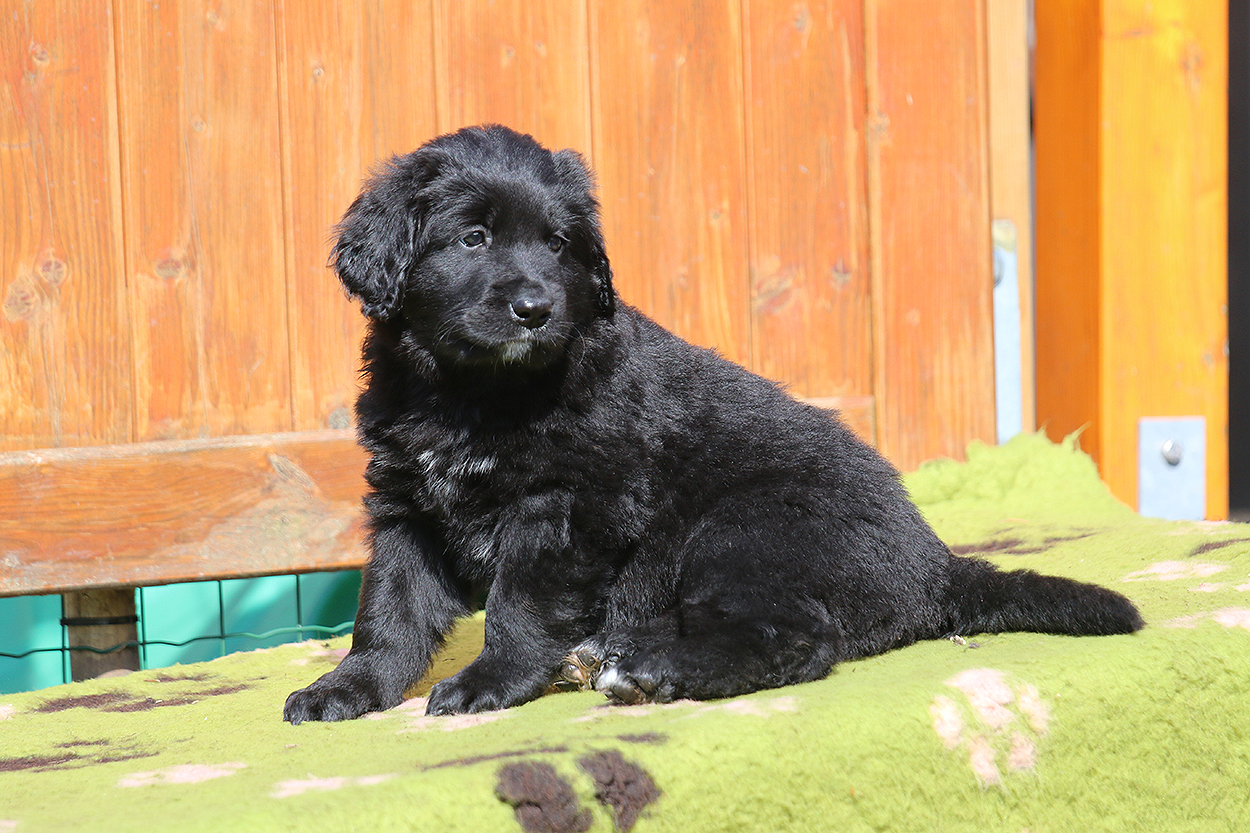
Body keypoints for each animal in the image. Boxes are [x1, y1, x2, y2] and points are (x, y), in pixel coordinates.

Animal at [283, 125, 1143, 723]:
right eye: (473, 237)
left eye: (558, 245)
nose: (536, 307)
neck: (475, 393)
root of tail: (934, 564)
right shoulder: (407, 505)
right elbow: (388, 612)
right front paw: (346, 688)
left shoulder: (566, 508)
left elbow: (518, 605)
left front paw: (489, 681)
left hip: (747, 527)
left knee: (798, 638)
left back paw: (653, 670)